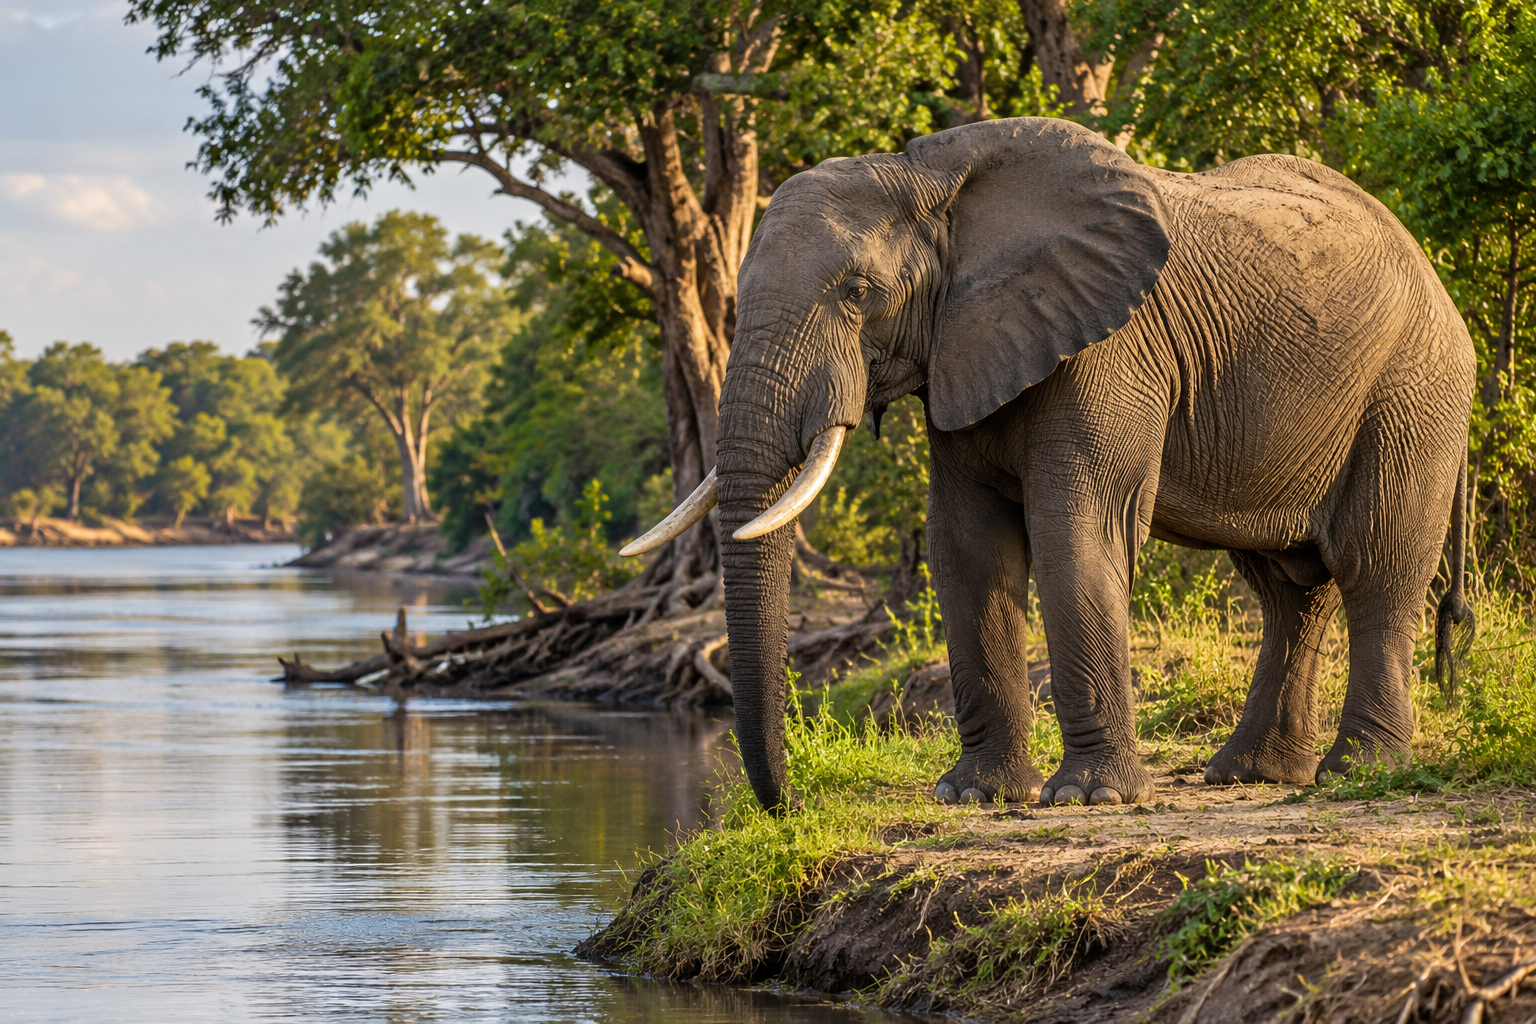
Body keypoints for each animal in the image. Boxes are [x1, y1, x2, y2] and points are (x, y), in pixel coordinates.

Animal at [624, 117, 1476, 811]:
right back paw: (1249, 774)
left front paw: (1091, 798)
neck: (934, 179)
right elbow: (966, 546)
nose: (790, 804)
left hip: (1414, 390)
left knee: (1376, 567)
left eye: (858, 292)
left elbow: (1075, 531)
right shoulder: (964, 344)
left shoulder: (1111, 347)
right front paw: (975, 796)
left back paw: (1359, 772)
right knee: (1287, 588)